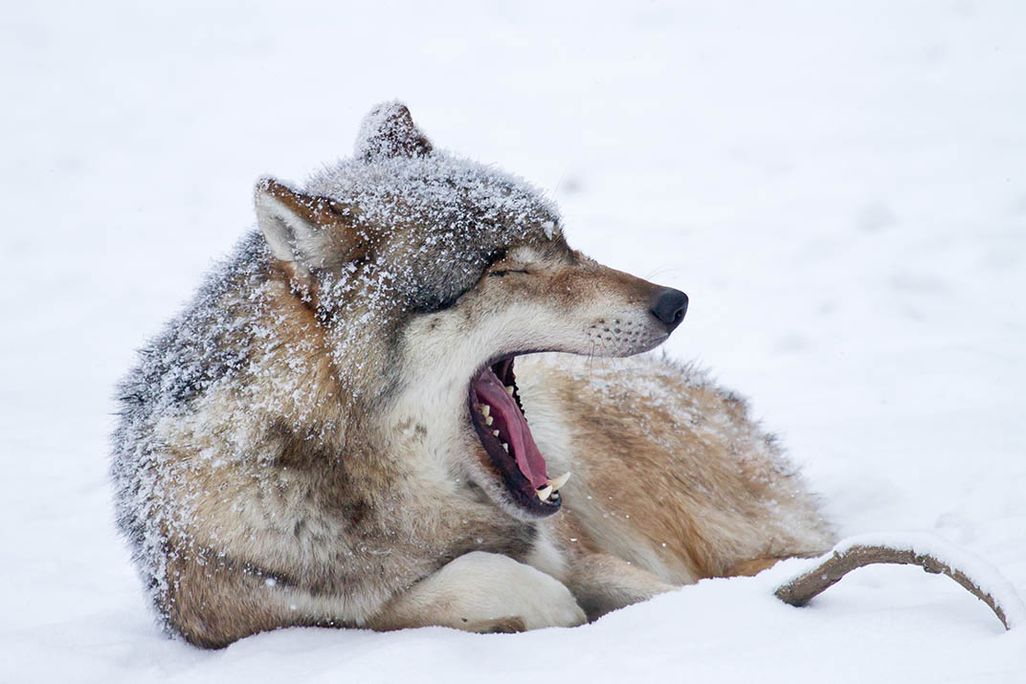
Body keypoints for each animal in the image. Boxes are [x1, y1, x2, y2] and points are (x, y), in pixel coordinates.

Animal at [112, 102, 834, 648]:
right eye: (505, 267)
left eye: (564, 244)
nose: (674, 303)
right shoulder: (244, 614)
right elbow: (422, 595)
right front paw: (546, 606)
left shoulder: (578, 548)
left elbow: (661, 593)